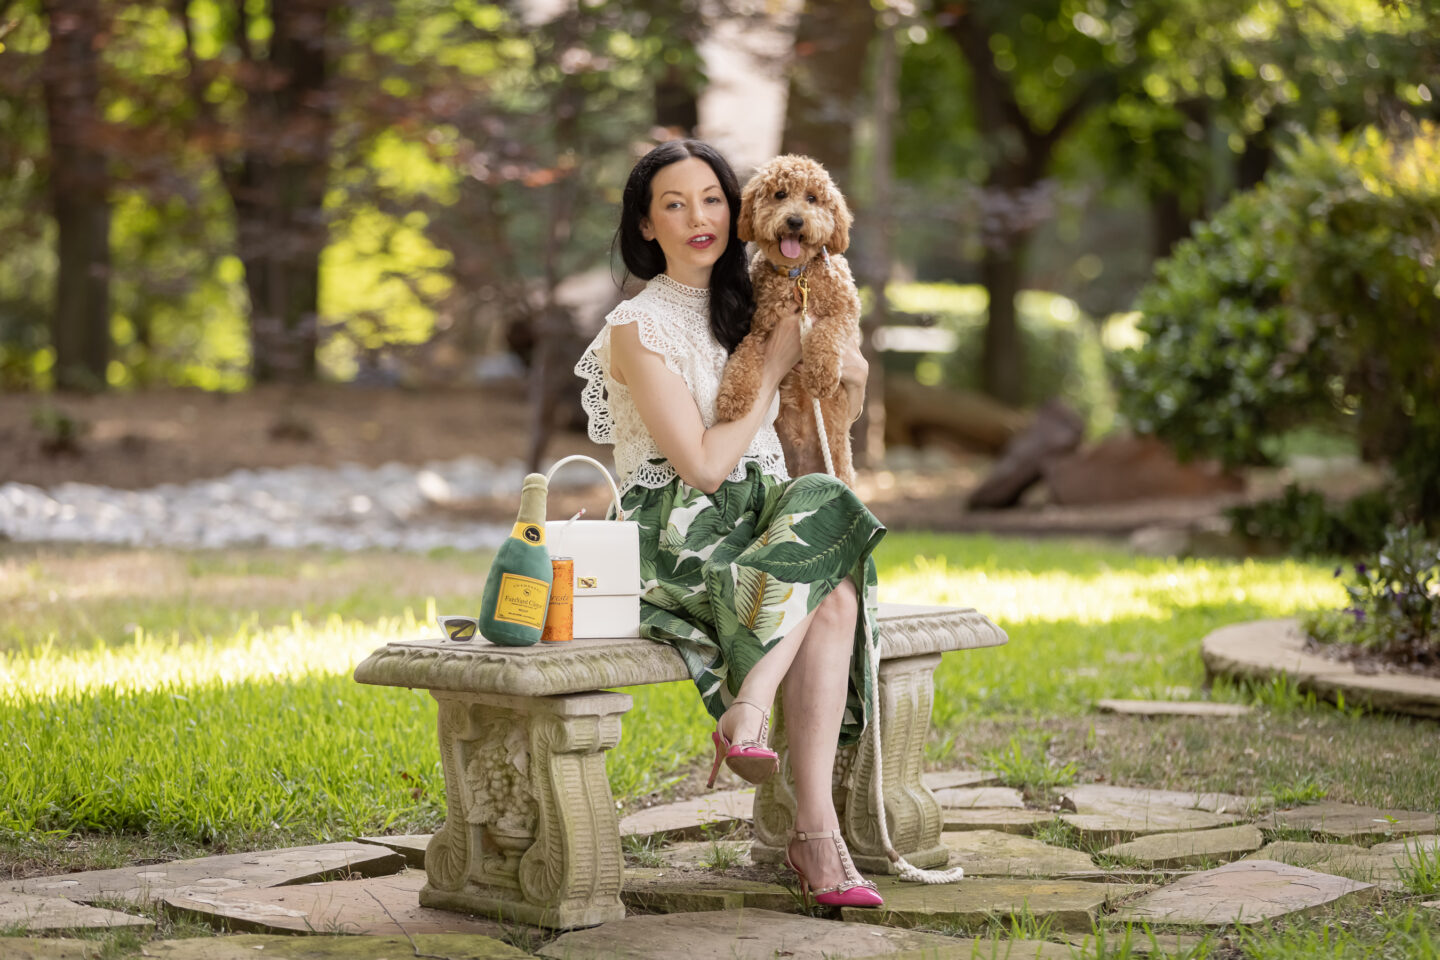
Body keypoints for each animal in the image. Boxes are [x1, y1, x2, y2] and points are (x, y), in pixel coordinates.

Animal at [714, 157, 858, 492]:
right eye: (779, 194)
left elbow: (826, 332)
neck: (797, 276)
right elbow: (744, 357)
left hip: (840, 466)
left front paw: (821, 375)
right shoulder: (758, 329)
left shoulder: (846, 313)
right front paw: (733, 398)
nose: (795, 221)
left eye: (812, 198)